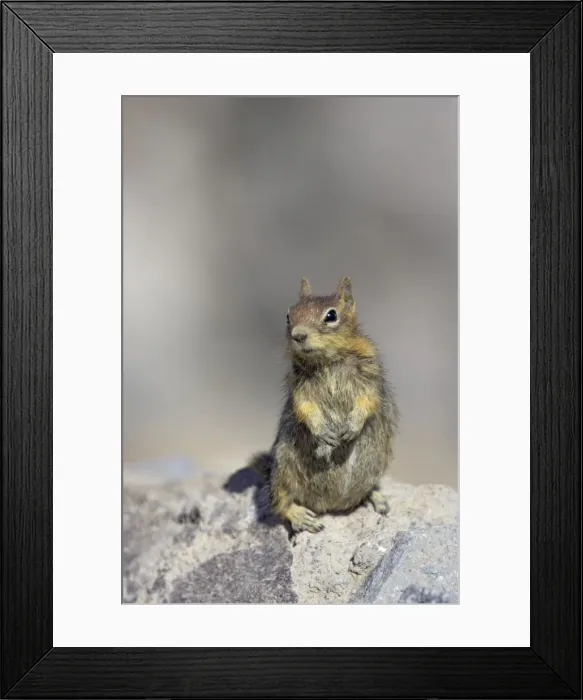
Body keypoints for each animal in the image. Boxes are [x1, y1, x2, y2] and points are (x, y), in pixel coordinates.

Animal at [246, 276, 399, 534]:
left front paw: (352, 426)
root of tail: (333, 506)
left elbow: (368, 399)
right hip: (282, 472)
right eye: (289, 315)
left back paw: (376, 498)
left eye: (331, 315)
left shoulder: (370, 373)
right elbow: (305, 407)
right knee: (280, 503)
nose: (298, 335)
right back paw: (301, 517)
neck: (327, 360)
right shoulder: (299, 385)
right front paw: (323, 433)